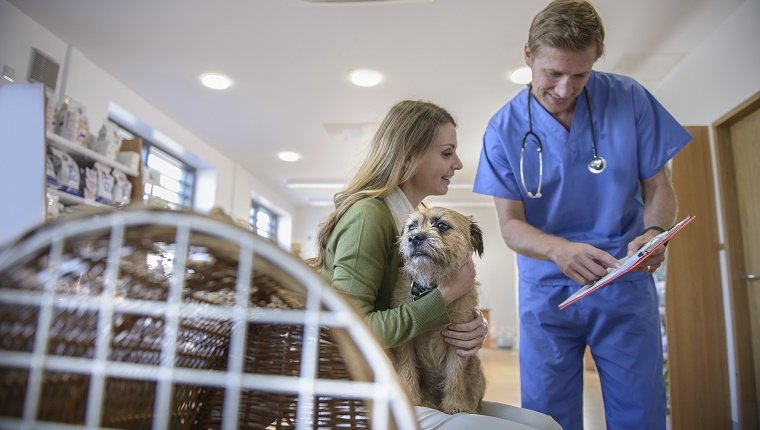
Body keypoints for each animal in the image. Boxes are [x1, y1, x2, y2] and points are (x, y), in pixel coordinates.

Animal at [392, 207, 486, 414]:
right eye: (412, 227)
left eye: (442, 226)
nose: (414, 238)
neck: (432, 287)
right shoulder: (405, 342)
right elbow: (407, 370)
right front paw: (411, 400)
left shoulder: (459, 341)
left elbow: (454, 376)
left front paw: (454, 405)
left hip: (475, 365)